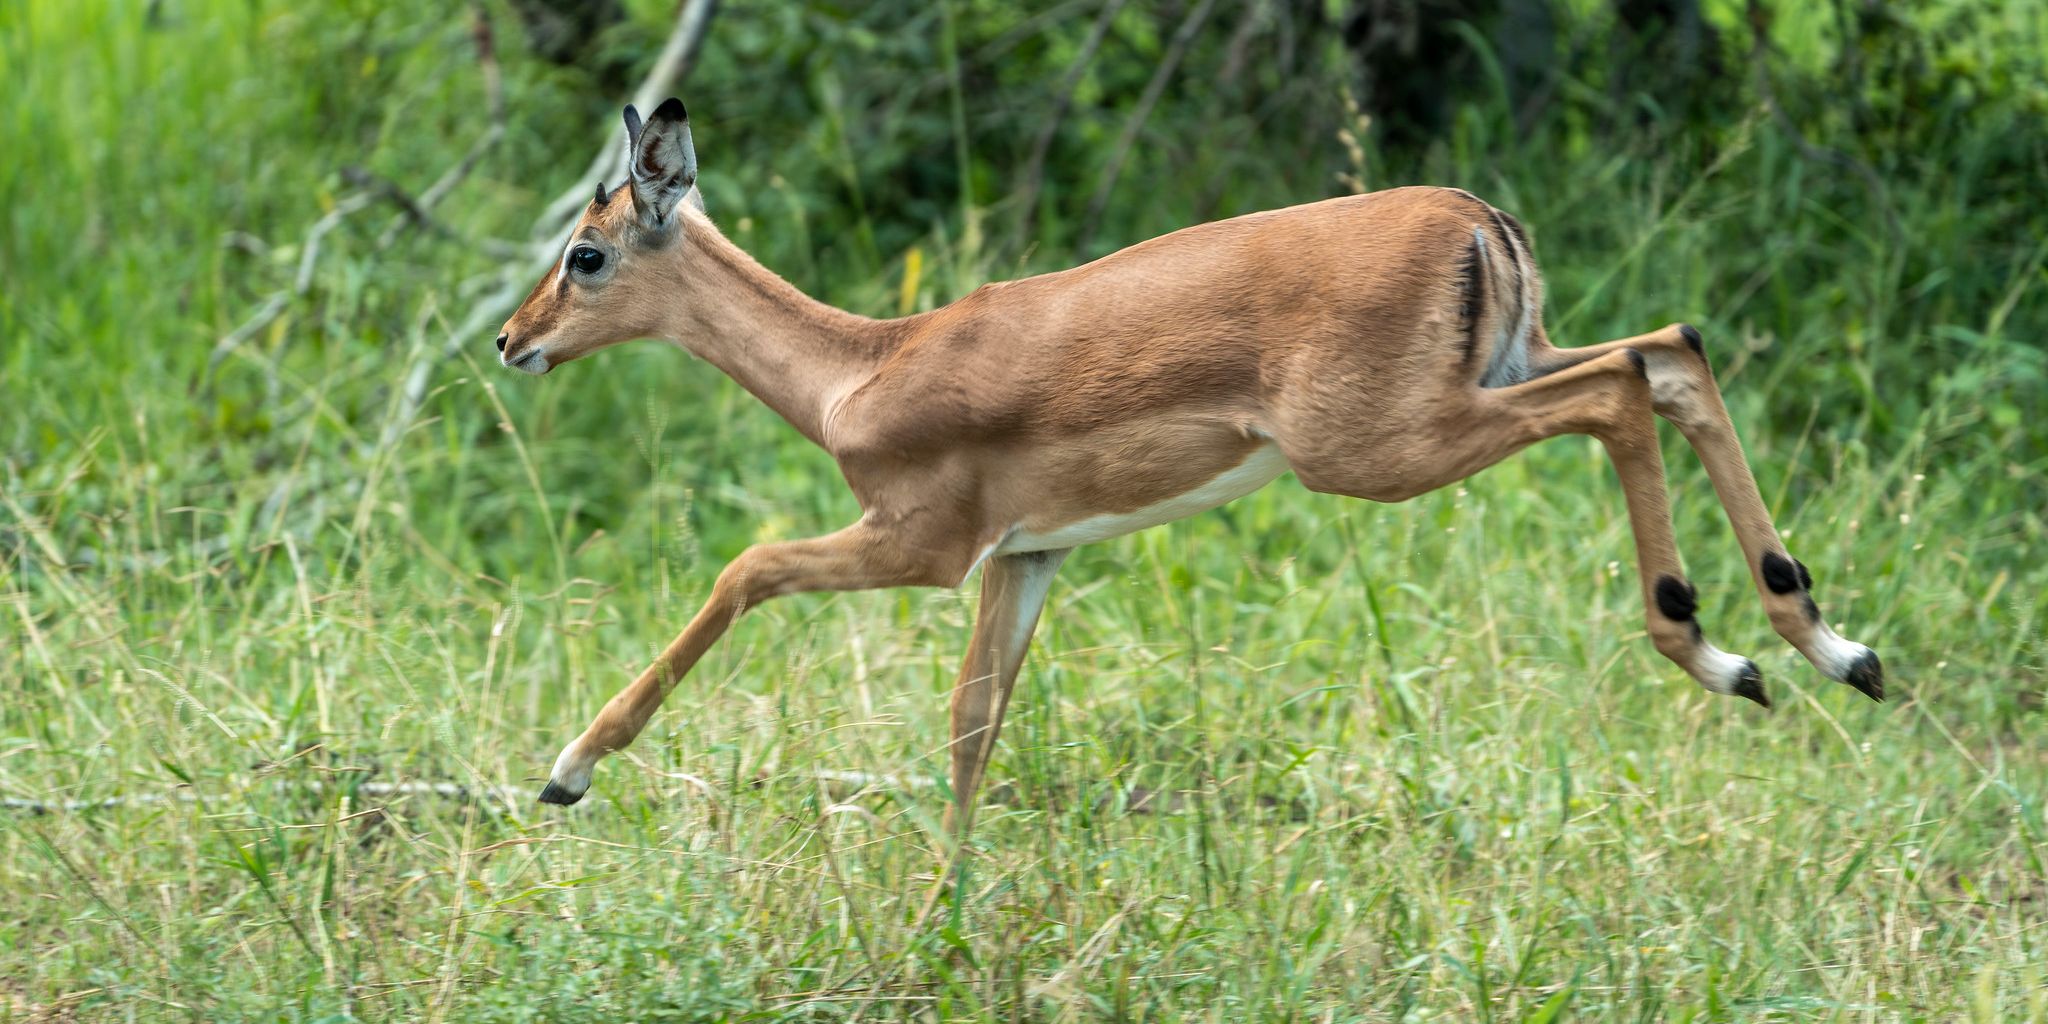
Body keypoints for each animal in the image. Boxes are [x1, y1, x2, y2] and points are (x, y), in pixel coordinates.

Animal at [497, 99, 1883, 821]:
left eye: (586, 251)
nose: (514, 340)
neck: (864, 371)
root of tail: (1476, 218)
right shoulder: (1028, 557)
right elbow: (971, 723)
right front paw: (947, 903)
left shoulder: (922, 546)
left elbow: (740, 569)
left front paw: (566, 770)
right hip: (1497, 371)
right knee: (1671, 355)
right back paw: (1825, 645)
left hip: (1383, 444)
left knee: (1618, 395)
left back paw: (1719, 653)